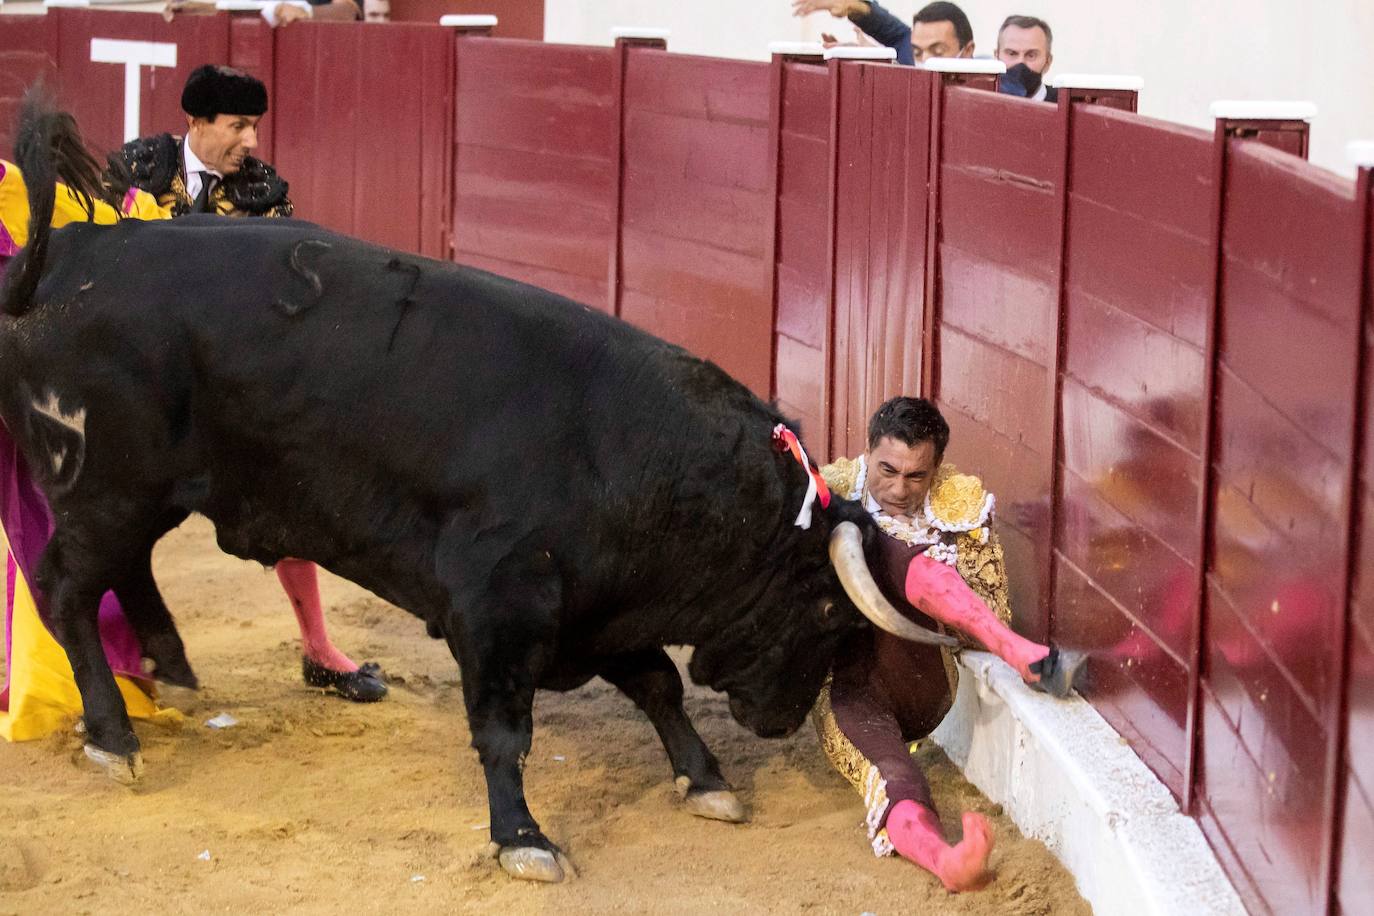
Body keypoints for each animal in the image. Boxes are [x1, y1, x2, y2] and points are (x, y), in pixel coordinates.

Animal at [0, 118, 950, 884]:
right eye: (826, 613)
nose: (783, 723)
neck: (636, 459)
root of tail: (72, 256)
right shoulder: (498, 605)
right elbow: (505, 728)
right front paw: (524, 839)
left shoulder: (600, 606)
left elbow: (658, 686)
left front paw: (708, 781)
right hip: (107, 485)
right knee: (67, 588)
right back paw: (114, 736)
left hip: (141, 494)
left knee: (122, 572)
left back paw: (171, 671)